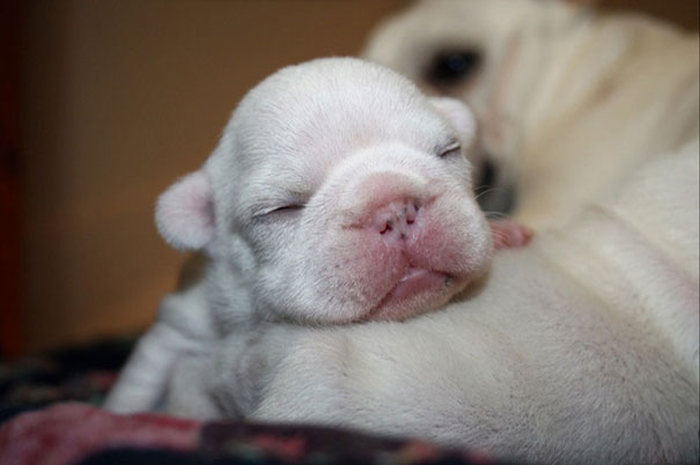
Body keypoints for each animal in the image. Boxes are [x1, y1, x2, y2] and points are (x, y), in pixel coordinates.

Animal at [105, 59, 532, 414]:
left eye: (448, 151)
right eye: (281, 208)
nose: (394, 209)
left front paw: (504, 232)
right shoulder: (182, 321)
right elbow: (142, 377)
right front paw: (116, 417)